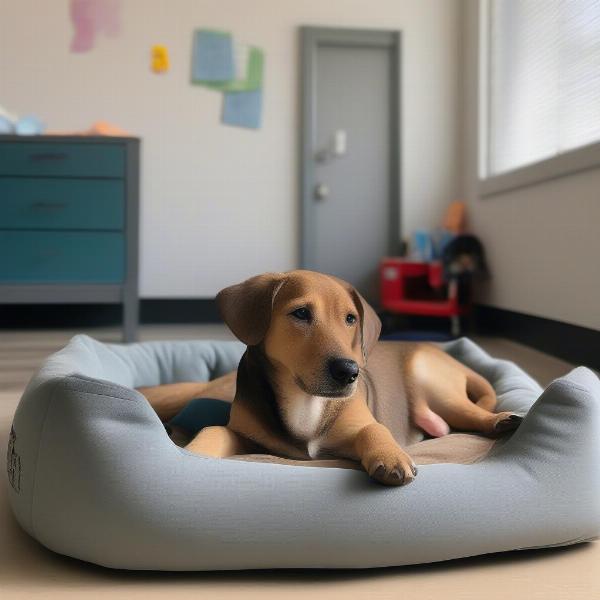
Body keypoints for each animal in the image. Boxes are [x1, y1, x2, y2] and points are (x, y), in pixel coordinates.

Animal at [138, 272, 524, 488]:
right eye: (300, 313)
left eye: (351, 319)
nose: (348, 371)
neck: (305, 400)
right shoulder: (247, 435)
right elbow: (214, 430)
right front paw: (189, 453)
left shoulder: (359, 422)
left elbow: (373, 429)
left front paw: (391, 457)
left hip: (432, 381)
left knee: (472, 414)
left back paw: (502, 420)